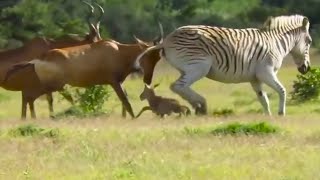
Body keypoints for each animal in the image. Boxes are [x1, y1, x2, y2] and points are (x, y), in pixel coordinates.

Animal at [4, 24, 165, 119]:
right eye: (146, 54)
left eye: (158, 56)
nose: (147, 79)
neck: (118, 51)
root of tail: (37, 60)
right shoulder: (114, 82)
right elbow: (125, 100)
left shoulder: (119, 82)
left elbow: (124, 99)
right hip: (53, 86)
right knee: (31, 96)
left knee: (28, 96)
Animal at [136, 15, 312, 116]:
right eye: (309, 42)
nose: (306, 69)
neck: (276, 43)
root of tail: (166, 40)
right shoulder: (266, 72)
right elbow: (282, 90)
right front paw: (281, 113)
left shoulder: (255, 78)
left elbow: (264, 99)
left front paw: (268, 117)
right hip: (199, 66)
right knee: (177, 86)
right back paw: (201, 104)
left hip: (187, 68)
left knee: (180, 87)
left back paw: (197, 106)